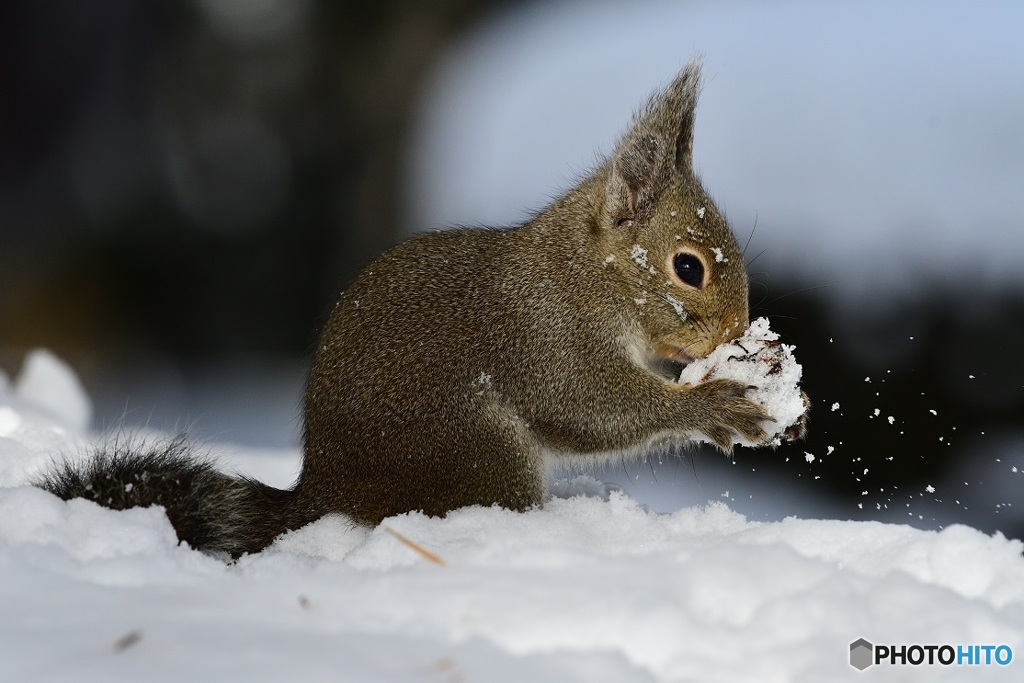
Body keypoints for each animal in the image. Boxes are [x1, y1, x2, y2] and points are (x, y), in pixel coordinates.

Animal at [39, 61, 802, 557]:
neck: (589, 275)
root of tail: (328, 492)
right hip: (476, 450)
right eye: (687, 267)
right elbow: (590, 406)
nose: (737, 330)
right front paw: (717, 405)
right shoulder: (549, 334)